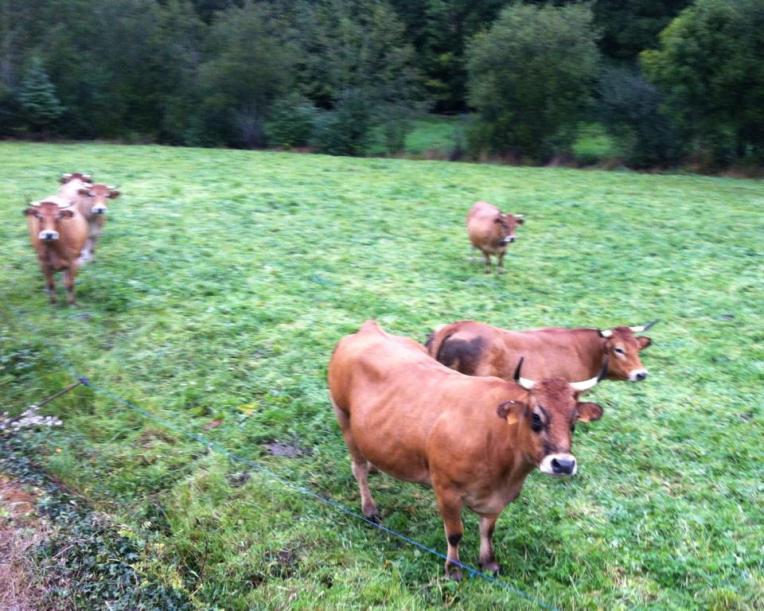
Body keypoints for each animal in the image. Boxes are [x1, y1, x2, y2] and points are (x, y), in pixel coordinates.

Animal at [328, 320, 606, 579]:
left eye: (573, 421)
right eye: (536, 417)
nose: (564, 464)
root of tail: (370, 328)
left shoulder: (498, 498)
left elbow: (487, 530)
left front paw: (488, 562)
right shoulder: (446, 490)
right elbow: (455, 534)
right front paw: (453, 568)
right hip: (343, 416)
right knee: (358, 468)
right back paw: (369, 508)